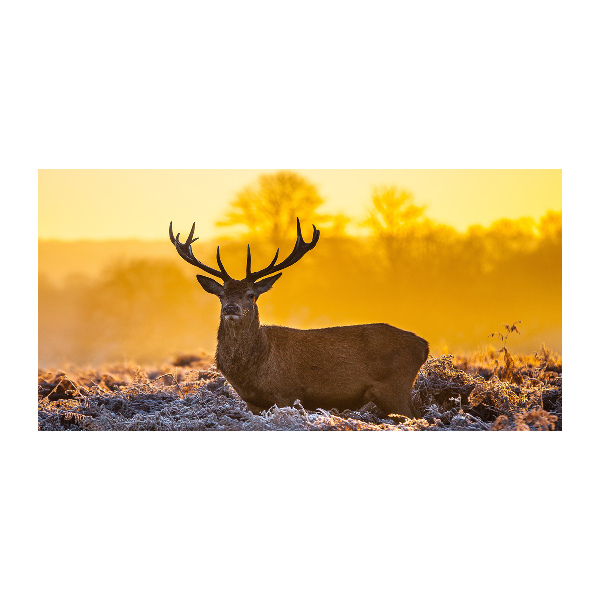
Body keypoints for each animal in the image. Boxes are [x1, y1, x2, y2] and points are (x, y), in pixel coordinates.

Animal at [169, 218, 428, 420]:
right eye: (221, 295)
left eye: (251, 294)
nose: (231, 308)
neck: (256, 365)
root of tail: (423, 345)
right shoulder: (252, 402)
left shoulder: (287, 393)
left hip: (394, 387)